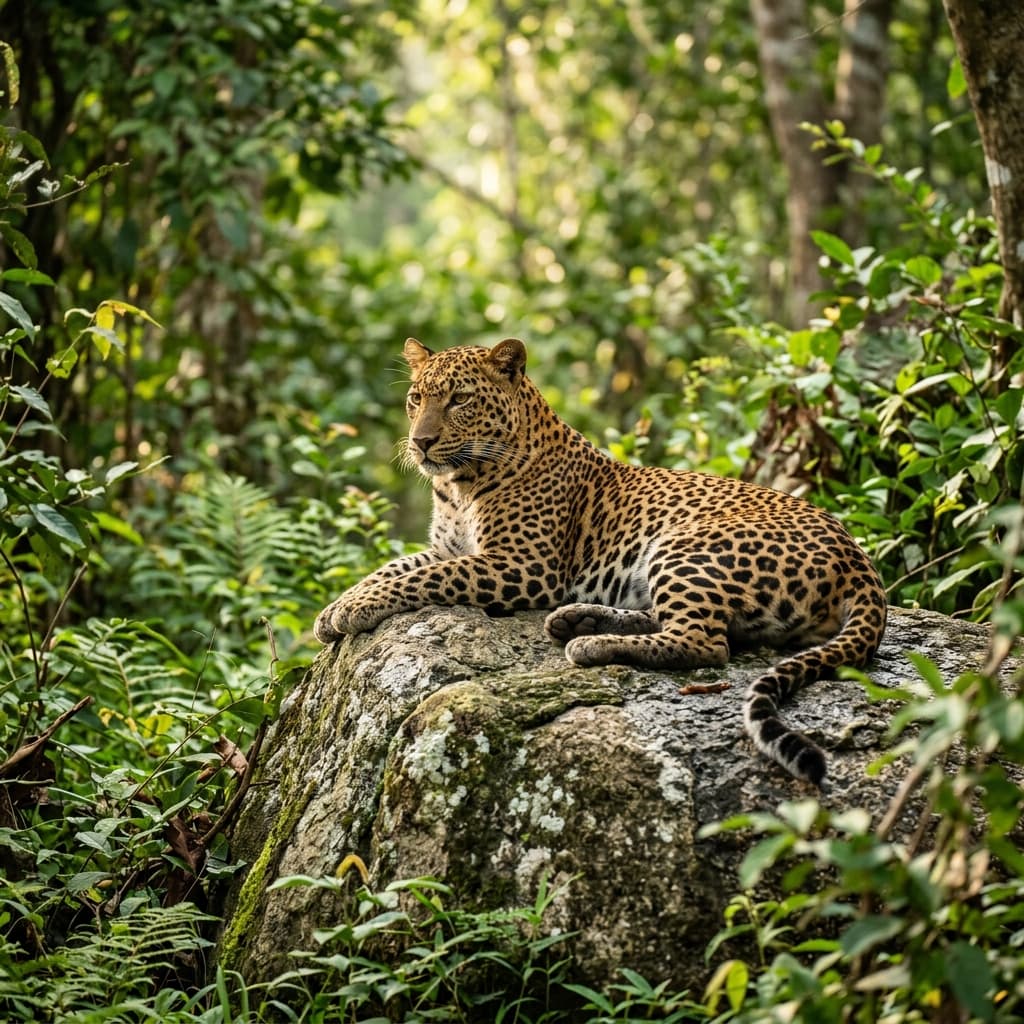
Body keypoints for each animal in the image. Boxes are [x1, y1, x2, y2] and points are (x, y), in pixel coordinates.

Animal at [314, 338, 888, 786]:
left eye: (459, 400)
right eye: (416, 398)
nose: (421, 442)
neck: (457, 487)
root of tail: (859, 559)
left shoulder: (522, 564)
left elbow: (428, 576)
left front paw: (355, 608)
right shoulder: (449, 547)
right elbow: (397, 566)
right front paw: (336, 608)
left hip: (689, 544)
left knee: (706, 643)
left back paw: (589, 644)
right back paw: (579, 620)